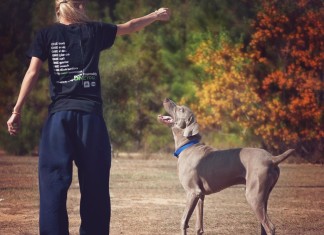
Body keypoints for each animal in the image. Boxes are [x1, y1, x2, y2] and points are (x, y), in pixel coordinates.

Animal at [158, 98, 294, 234]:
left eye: (181, 109)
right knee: (263, 225)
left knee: (270, 226)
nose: (166, 99)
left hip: (253, 195)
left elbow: (183, 221)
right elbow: (198, 226)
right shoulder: (200, 195)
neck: (188, 146)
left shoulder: (192, 192)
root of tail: (272, 158)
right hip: (263, 196)